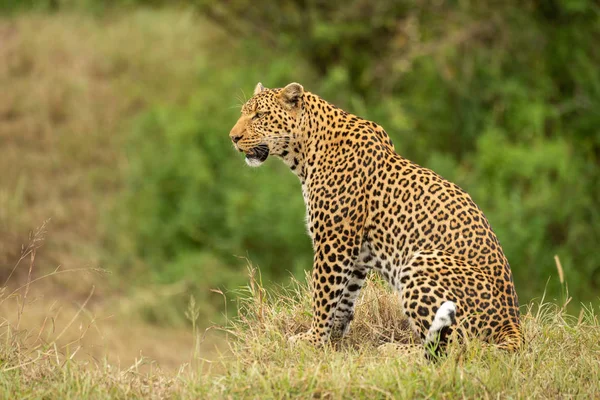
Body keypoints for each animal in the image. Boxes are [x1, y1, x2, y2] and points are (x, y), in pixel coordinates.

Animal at [227, 81, 524, 356]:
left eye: (259, 115)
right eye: (243, 113)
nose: (233, 137)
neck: (306, 152)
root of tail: (512, 322)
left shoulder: (335, 240)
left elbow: (323, 295)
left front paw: (312, 340)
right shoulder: (356, 252)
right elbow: (344, 296)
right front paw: (335, 337)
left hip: (422, 262)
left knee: (453, 346)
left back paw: (394, 349)